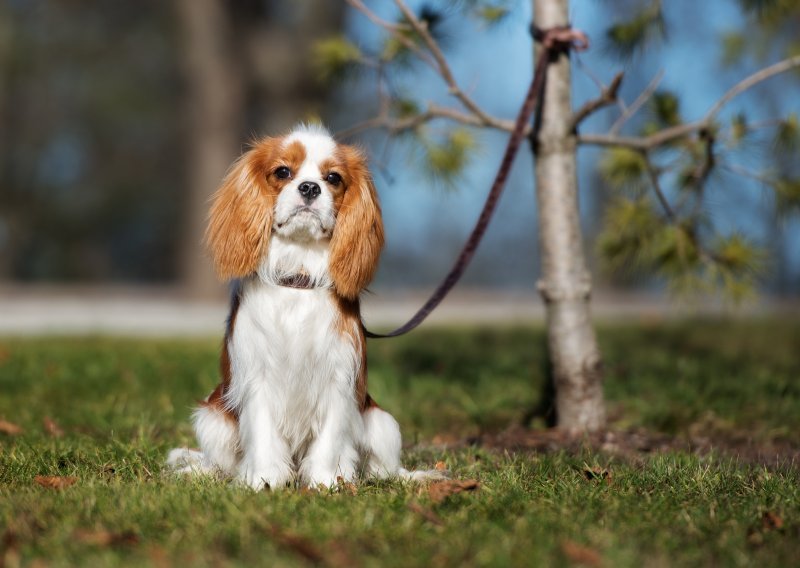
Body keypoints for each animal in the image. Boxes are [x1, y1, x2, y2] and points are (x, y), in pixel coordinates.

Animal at [169, 126, 440, 490]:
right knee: (220, 462)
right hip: (212, 417)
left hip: (382, 423)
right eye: (283, 172)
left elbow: (330, 438)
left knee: (384, 470)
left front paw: (326, 482)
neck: (297, 276)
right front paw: (264, 480)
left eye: (333, 178)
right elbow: (263, 433)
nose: (310, 187)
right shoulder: (257, 376)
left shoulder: (339, 377)